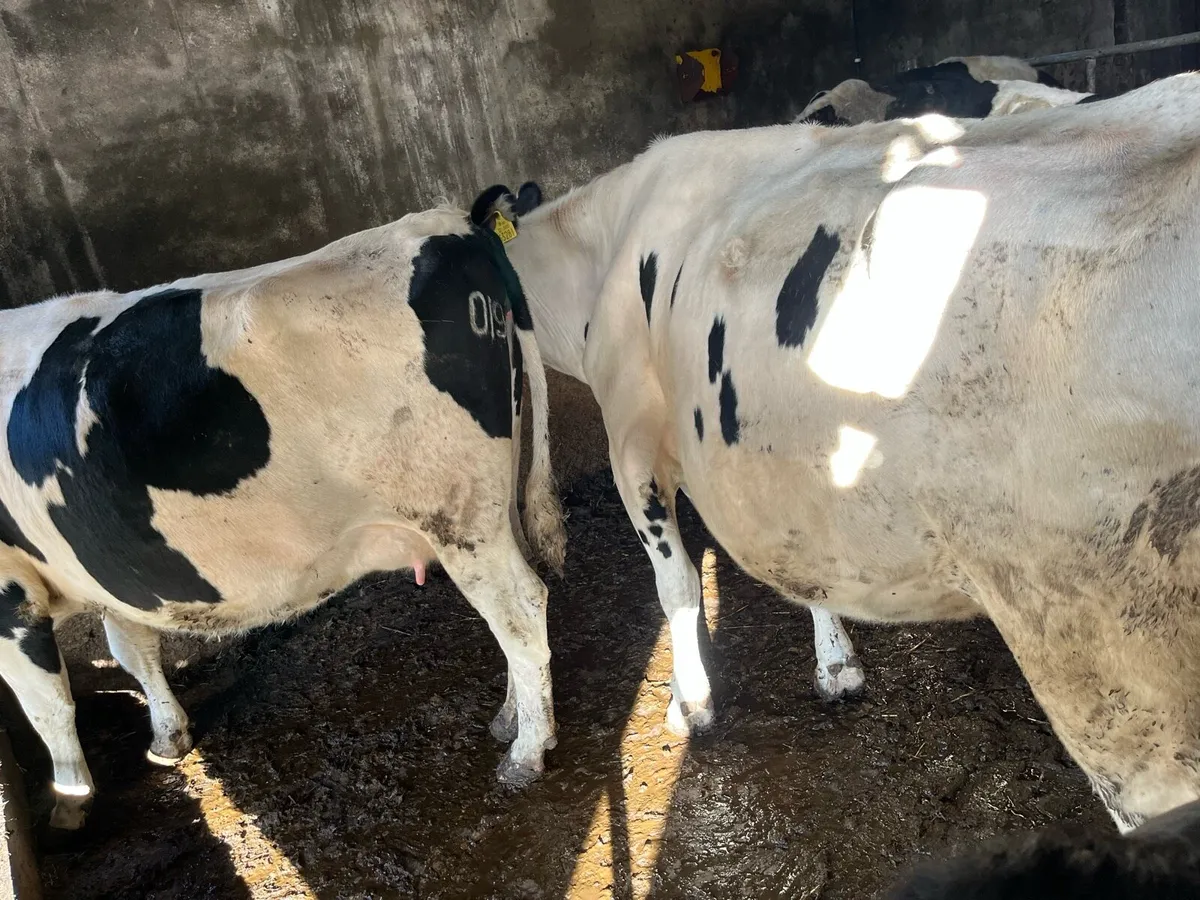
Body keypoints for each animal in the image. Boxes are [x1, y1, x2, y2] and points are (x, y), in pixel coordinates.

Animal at [0, 206, 565, 828]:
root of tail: (453, 222)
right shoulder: (109, 571)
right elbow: (133, 649)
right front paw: (168, 738)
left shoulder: (10, 591)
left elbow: (49, 705)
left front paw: (70, 798)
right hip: (491, 501)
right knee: (514, 606)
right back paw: (511, 720)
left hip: (457, 513)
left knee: (519, 607)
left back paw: (527, 752)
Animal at [470, 72, 1200, 831]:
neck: (603, 250)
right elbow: (806, 559)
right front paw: (836, 664)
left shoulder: (634, 442)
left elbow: (675, 584)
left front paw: (690, 700)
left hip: (1100, 642)